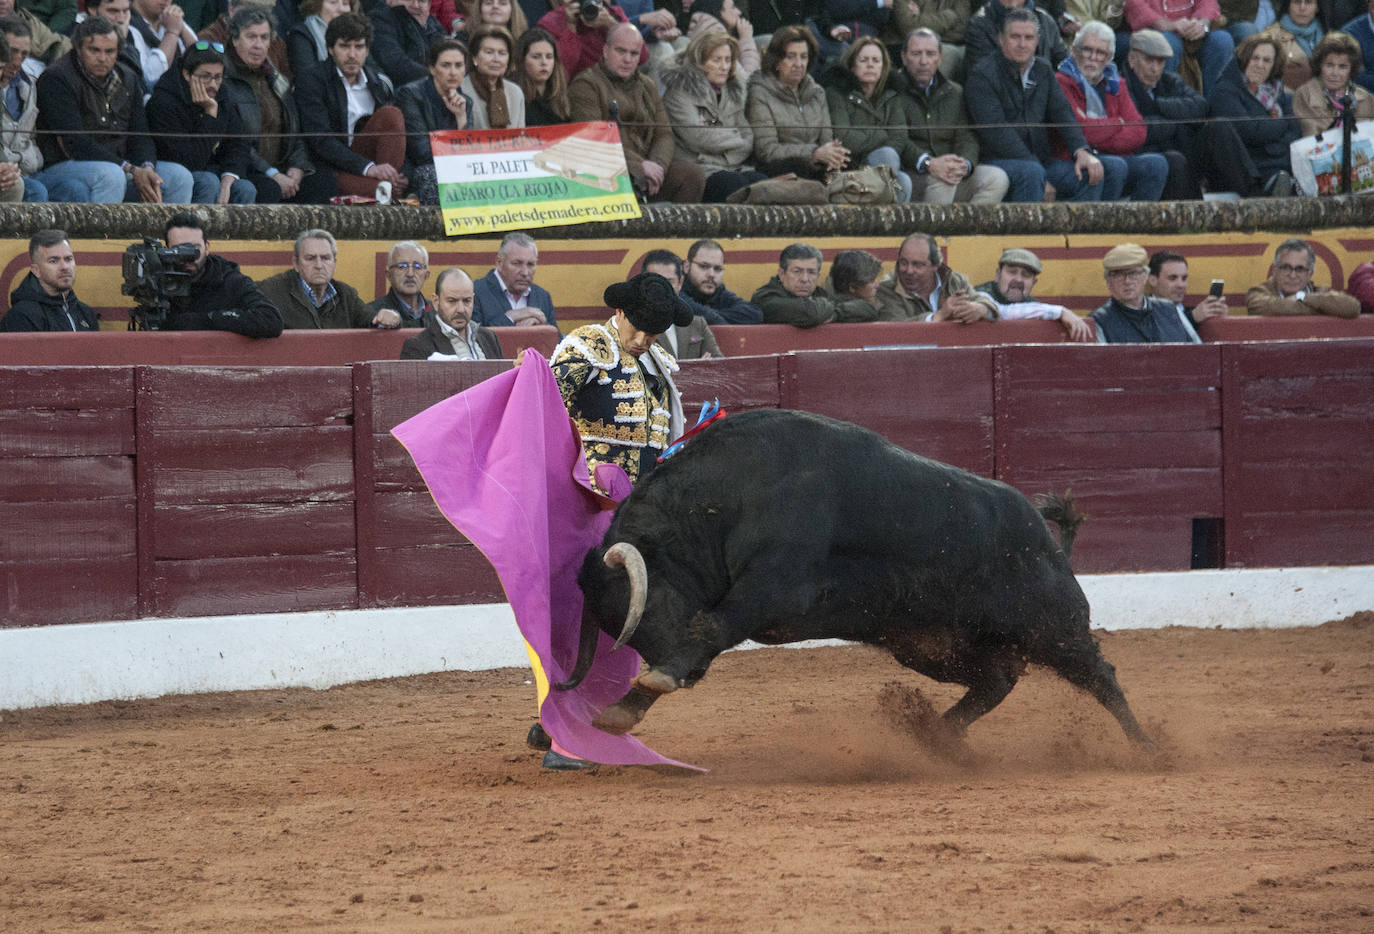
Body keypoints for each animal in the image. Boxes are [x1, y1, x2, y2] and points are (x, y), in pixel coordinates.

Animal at [555, 412, 1148, 747]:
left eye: (647, 605)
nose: (687, 676)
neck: (728, 496)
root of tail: (1047, 542)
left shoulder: (772, 588)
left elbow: (711, 628)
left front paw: (651, 684)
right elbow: (704, 634)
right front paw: (623, 710)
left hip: (1055, 628)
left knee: (1100, 676)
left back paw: (1149, 749)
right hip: (934, 645)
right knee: (997, 681)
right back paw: (936, 735)